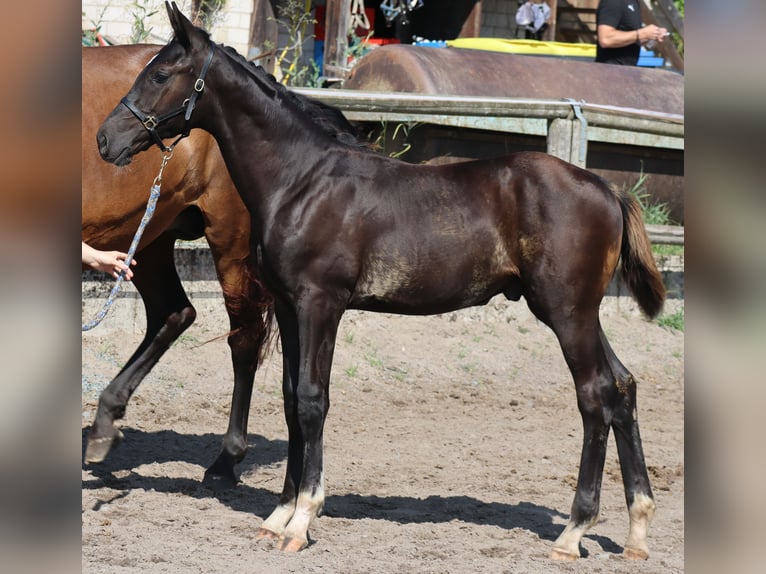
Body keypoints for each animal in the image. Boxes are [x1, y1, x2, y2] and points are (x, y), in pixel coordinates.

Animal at [83, 44, 364, 486]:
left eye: (160, 78)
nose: (105, 139)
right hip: (150, 238)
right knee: (174, 312)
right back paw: (104, 422)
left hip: (228, 244)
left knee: (243, 338)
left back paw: (226, 459)